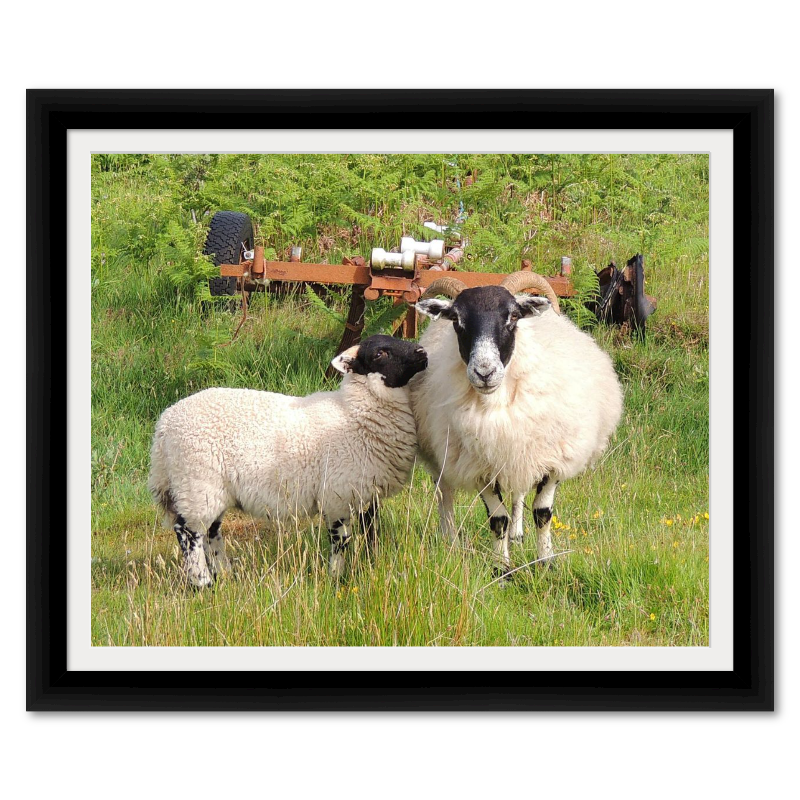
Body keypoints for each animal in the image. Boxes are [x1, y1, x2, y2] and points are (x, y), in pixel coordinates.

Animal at [148, 335, 428, 587]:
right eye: (380, 353)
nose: (422, 352)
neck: (353, 414)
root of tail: (165, 424)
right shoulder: (336, 496)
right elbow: (341, 541)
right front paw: (336, 578)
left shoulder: (367, 494)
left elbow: (371, 533)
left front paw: (372, 566)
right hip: (196, 482)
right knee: (188, 533)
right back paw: (202, 583)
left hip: (210, 489)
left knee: (211, 531)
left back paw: (224, 574)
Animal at [410, 271, 623, 577]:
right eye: (456, 320)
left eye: (512, 316)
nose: (484, 372)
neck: (497, 403)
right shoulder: (480, 467)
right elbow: (497, 519)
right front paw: (502, 570)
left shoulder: (552, 458)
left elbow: (542, 513)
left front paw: (546, 562)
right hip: (440, 454)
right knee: (444, 492)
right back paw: (450, 539)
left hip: (520, 450)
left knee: (519, 491)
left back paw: (518, 535)